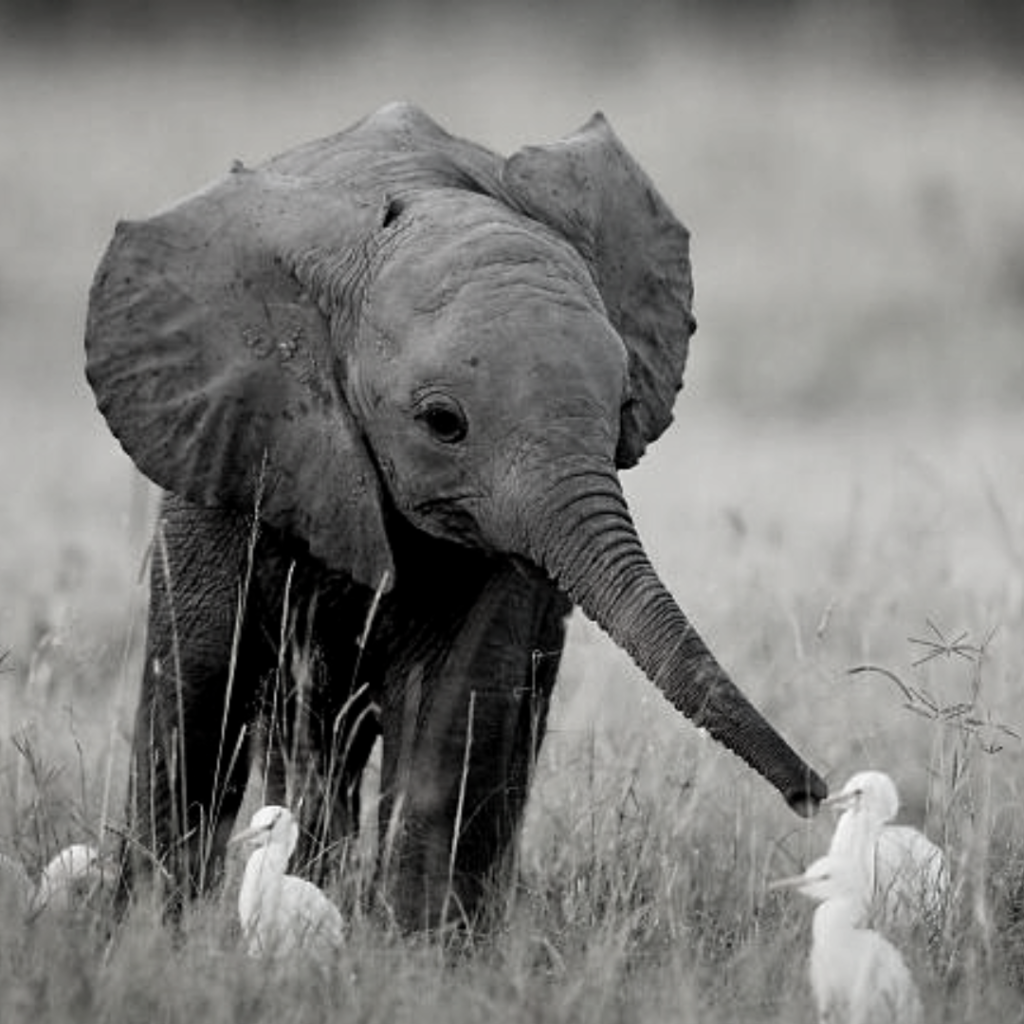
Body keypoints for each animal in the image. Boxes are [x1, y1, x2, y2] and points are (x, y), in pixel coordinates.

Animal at [86, 101, 823, 929]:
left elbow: (456, 705)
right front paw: (145, 930)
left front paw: (418, 943)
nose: (812, 796)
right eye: (443, 423)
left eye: (624, 406)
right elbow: (198, 689)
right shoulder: (231, 443)